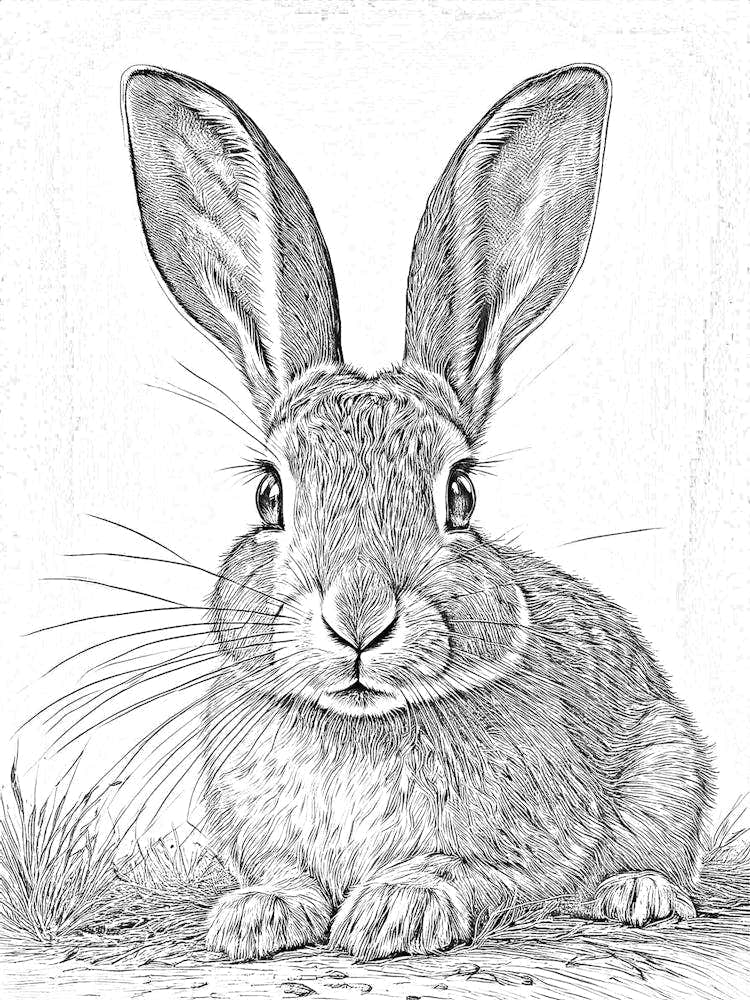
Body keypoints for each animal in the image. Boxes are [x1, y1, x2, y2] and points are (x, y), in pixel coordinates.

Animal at [122, 63, 714, 962]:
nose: (359, 617)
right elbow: (284, 872)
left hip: (669, 761)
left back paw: (638, 893)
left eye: (461, 493)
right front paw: (254, 916)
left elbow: (470, 870)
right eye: (268, 494)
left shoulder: (531, 844)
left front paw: (394, 909)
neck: (359, 728)